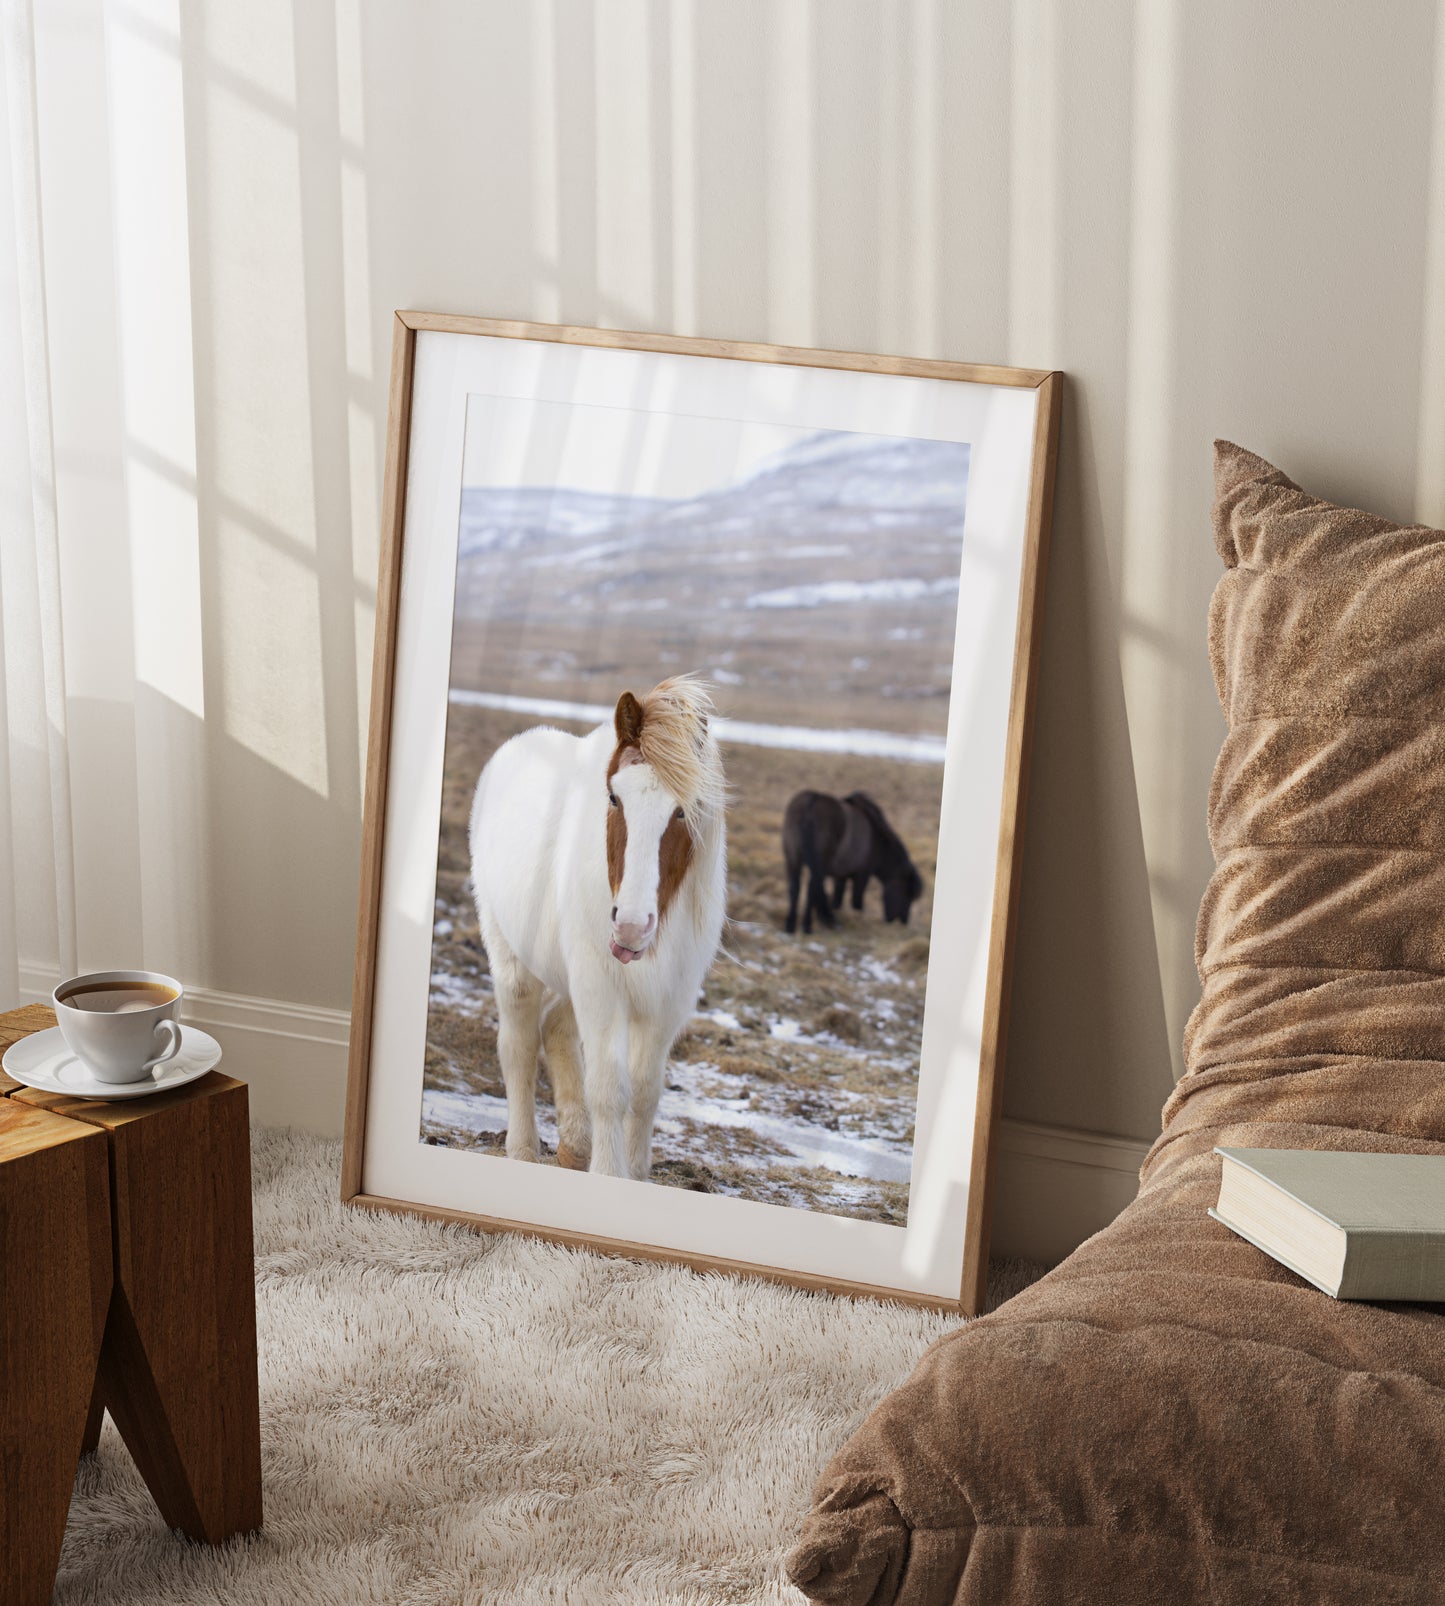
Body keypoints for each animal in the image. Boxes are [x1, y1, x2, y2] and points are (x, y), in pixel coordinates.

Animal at [472, 677, 728, 1182]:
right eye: (614, 797)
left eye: (683, 811)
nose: (631, 926)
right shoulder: (602, 989)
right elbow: (610, 1090)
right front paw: (610, 1174)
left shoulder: (667, 1004)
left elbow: (646, 1093)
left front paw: (634, 1172)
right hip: (513, 963)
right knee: (518, 1046)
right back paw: (523, 1150)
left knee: (555, 1030)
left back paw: (574, 1146)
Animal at [780, 786, 924, 937]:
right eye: (907, 893)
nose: (902, 921)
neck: (877, 840)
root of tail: (812, 802)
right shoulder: (862, 874)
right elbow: (856, 901)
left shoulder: (840, 876)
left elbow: (836, 899)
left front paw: (830, 916)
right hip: (818, 866)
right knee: (811, 889)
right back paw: (807, 926)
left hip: (793, 860)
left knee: (795, 888)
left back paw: (790, 926)